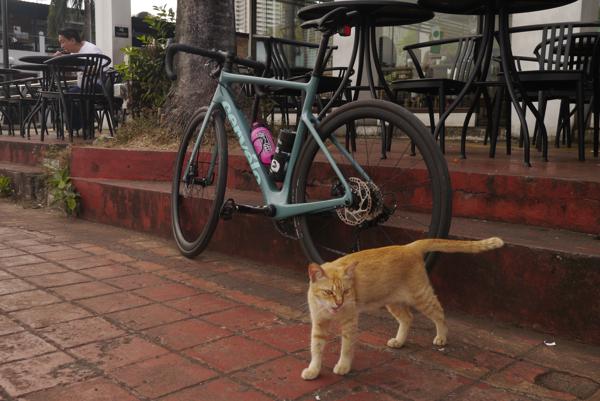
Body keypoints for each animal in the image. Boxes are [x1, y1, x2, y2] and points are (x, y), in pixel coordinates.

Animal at [301, 237, 504, 380]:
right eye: (328, 292)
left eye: (346, 291)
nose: (339, 303)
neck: (329, 311)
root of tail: (409, 246)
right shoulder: (319, 324)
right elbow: (316, 348)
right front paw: (313, 370)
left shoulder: (349, 323)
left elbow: (346, 347)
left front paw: (343, 366)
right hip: (394, 302)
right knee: (408, 318)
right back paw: (399, 341)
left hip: (421, 296)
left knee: (439, 312)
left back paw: (441, 338)